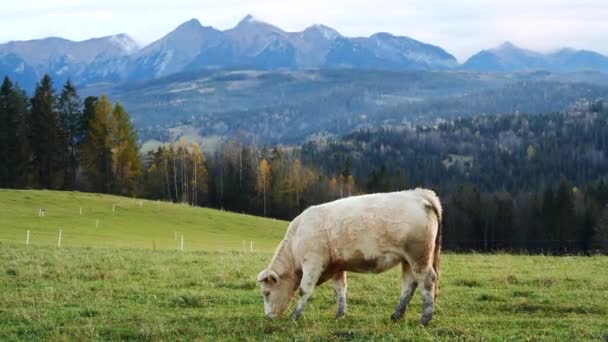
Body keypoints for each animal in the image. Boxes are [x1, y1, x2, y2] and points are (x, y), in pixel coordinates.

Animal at [256, 188, 442, 324]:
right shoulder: (336, 265)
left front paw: (295, 316)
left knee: (427, 280)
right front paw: (340, 314)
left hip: (419, 256)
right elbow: (340, 289)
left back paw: (425, 319)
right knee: (409, 284)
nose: (268, 317)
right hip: (407, 260)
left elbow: (304, 290)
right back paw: (397, 315)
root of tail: (419, 193)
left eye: (267, 293)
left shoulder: (312, 263)